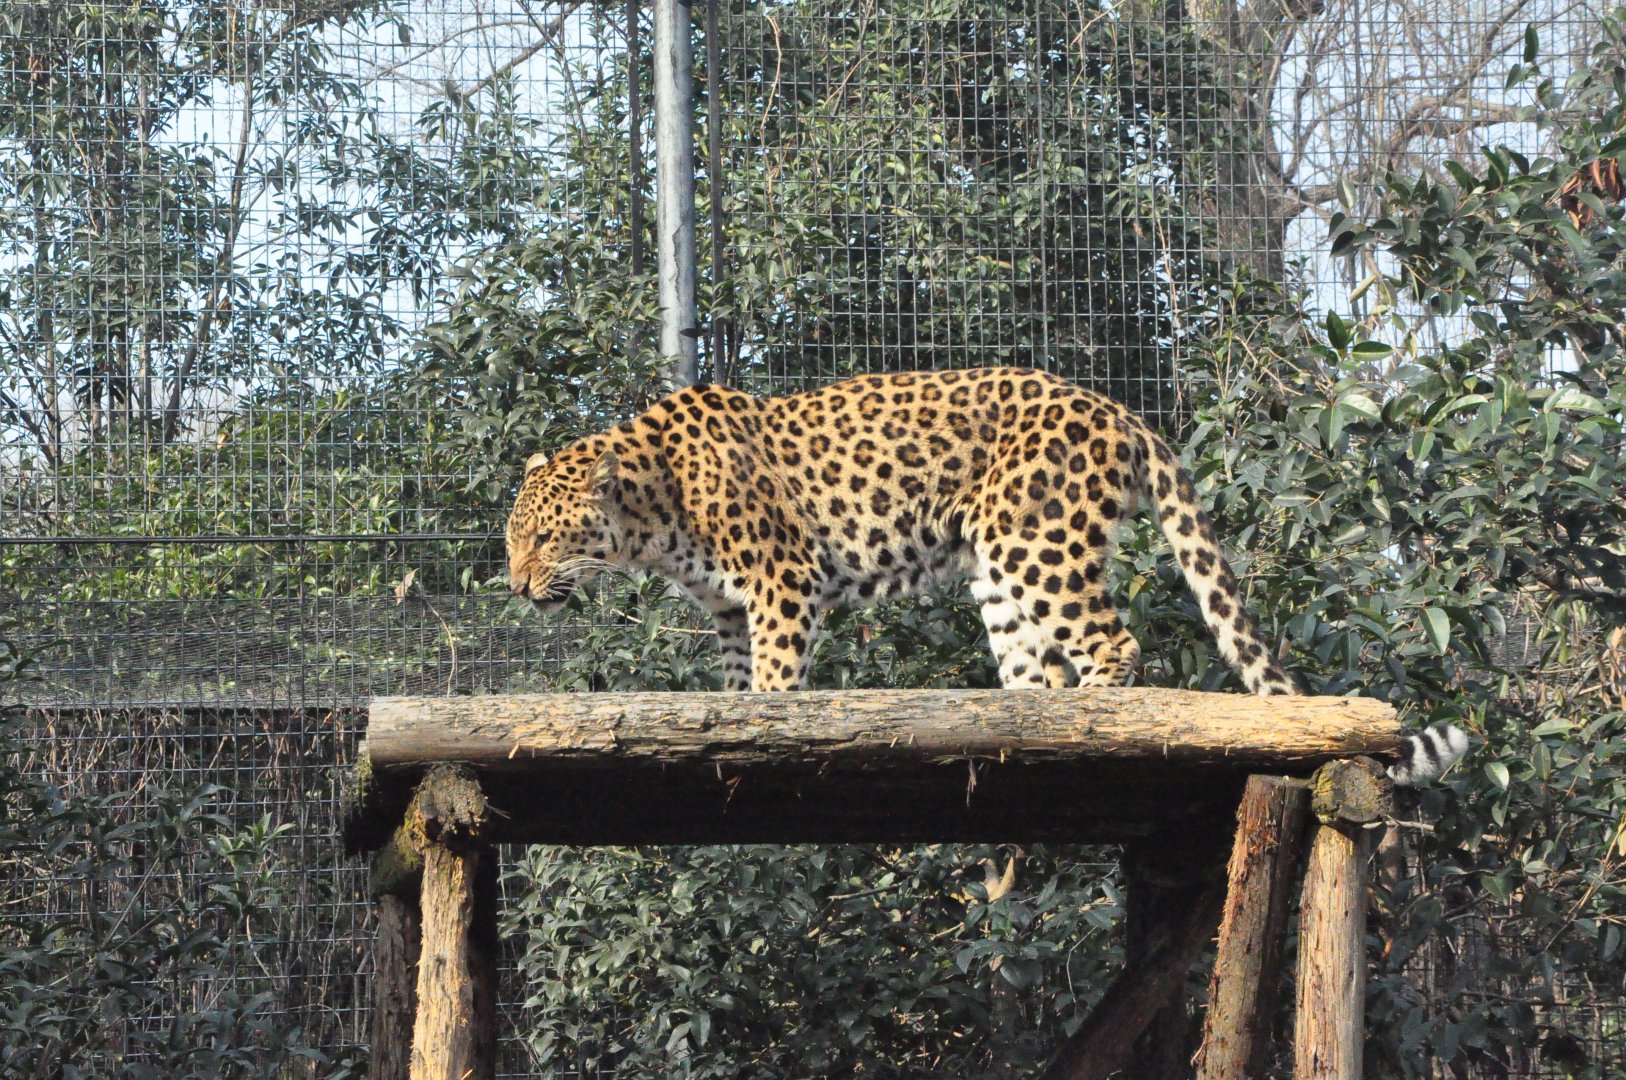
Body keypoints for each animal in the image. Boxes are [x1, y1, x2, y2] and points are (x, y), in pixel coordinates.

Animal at [506, 367, 1467, 785]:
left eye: (545, 541)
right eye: (513, 541)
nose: (516, 587)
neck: (652, 513)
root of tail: (1118, 408)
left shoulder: (783, 577)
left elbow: (779, 678)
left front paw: (775, 718)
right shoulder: (732, 609)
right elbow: (740, 684)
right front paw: (731, 720)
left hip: (1039, 543)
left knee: (1113, 640)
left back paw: (1097, 712)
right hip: (1000, 571)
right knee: (1036, 667)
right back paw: (1022, 716)